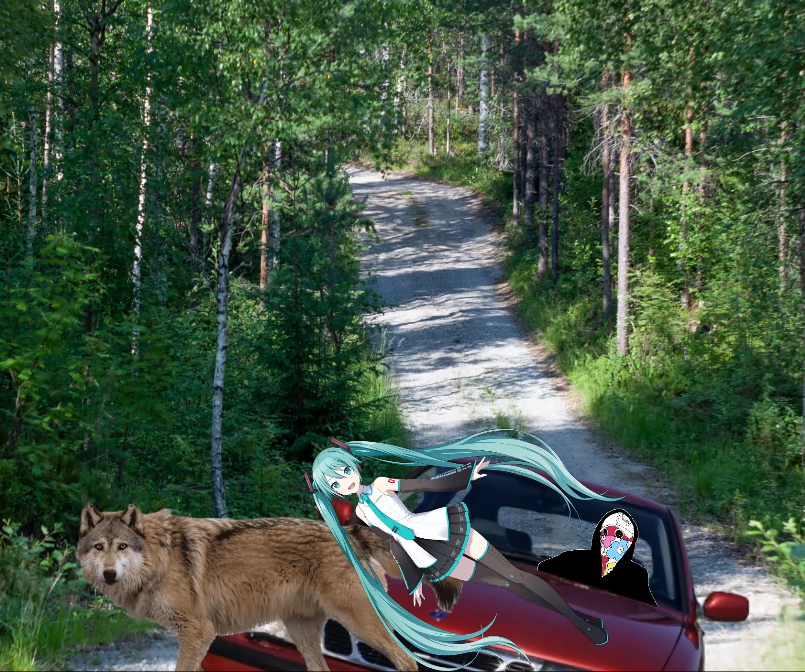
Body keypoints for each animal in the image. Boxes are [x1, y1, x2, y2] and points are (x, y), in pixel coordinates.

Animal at [76, 503, 463, 671]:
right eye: (99, 547)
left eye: (121, 547)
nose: (108, 574)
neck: (160, 557)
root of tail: (351, 531)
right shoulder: (193, 637)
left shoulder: (199, 632)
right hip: (303, 632)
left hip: (360, 624)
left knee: (407, 662)